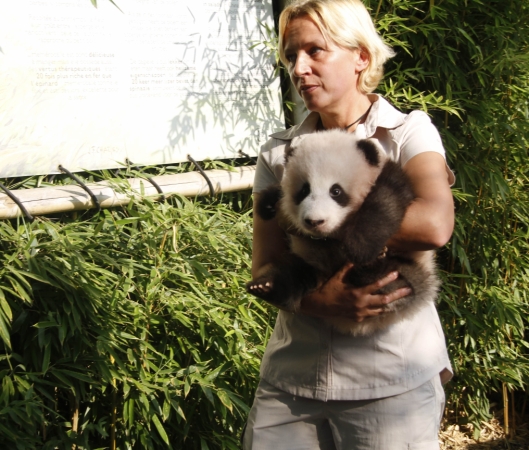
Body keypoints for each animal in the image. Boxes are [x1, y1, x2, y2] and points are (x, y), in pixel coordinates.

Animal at [245, 128, 440, 336]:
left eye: (336, 191)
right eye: (304, 190)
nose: (314, 222)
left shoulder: (391, 176)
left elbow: (386, 201)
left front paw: (360, 248)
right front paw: (267, 203)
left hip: (410, 274)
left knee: (389, 279)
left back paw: (372, 265)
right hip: (308, 261)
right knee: (295, 273)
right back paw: (265, 286)